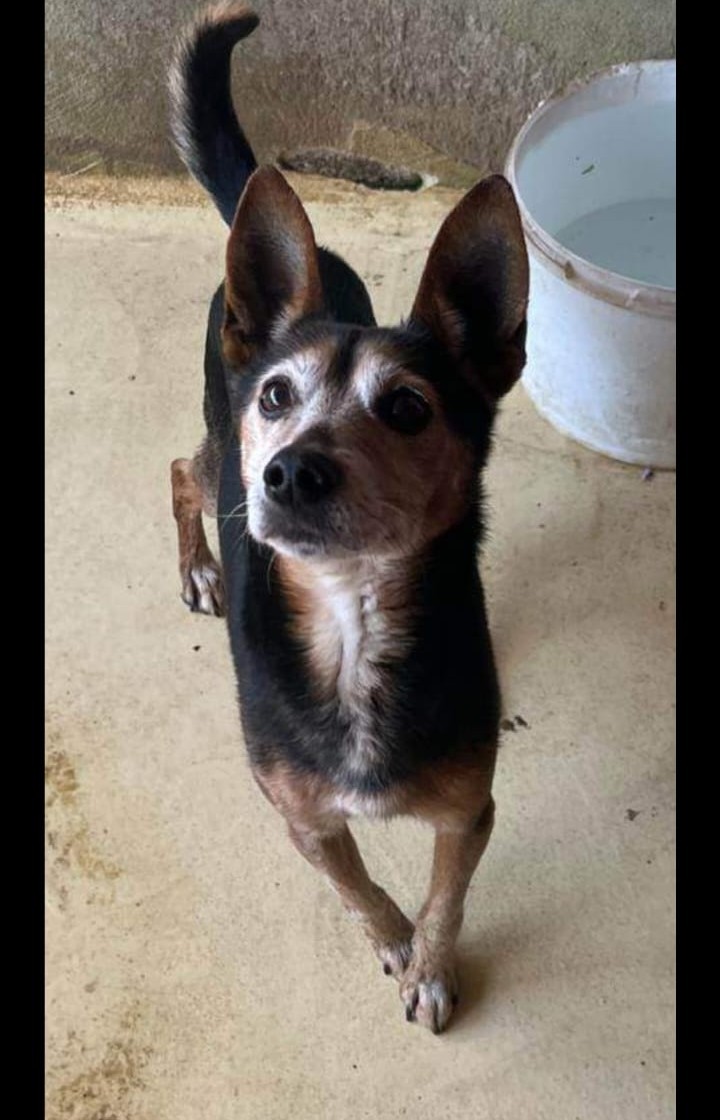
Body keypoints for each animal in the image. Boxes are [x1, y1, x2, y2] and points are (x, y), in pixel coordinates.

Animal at [168, 3, 528, 1034]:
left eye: (407, 408)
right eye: (279, 397)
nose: (290, 472)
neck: (351, 619)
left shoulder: (469, 809)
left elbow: (448, 896)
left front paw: (433, 965)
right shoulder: (302, 818)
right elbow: (357, 887)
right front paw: (396, 945)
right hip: (224, 455)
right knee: (182, 468)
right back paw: (199, 565)